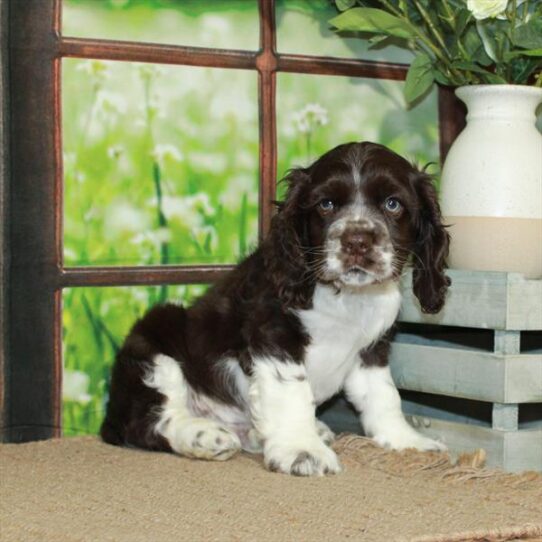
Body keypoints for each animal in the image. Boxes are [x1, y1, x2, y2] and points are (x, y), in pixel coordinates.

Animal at [101, 142, 450, 478]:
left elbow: (384, 395)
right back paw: (205, 436)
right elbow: (291, 392)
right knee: (148, 421)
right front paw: (302, 451)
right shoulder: (274, 334)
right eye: (326, 204)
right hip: (155, 336)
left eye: (393, 204)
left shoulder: (372, 349)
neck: (346, 297)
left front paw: (407, 442)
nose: (357, 241)